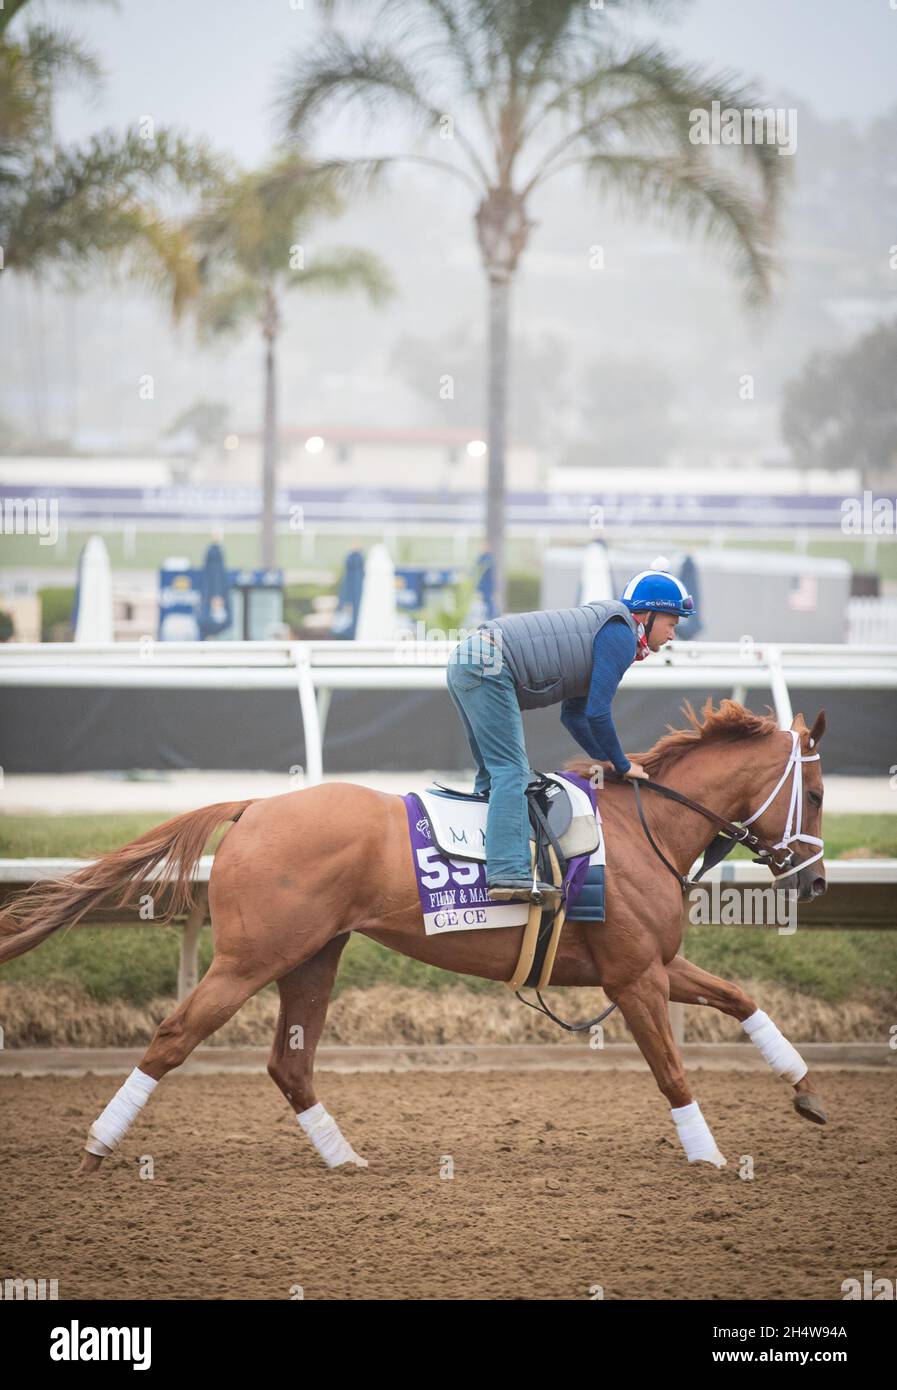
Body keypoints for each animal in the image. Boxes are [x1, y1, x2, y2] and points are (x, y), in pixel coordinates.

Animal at [0, 695, 823, 1173]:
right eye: (814, 793)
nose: (812, 882)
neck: (634, 829)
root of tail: (256, 805)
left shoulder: (653, 965)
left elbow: (739, 998)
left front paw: (806, 1091)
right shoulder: (633, 977)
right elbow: (672, 1072)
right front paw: (708, 1155)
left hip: (313, 957)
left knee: (288, 1063)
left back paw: (345, 1159)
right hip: (248, 958)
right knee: (174, 1036)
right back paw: (99, 1144)